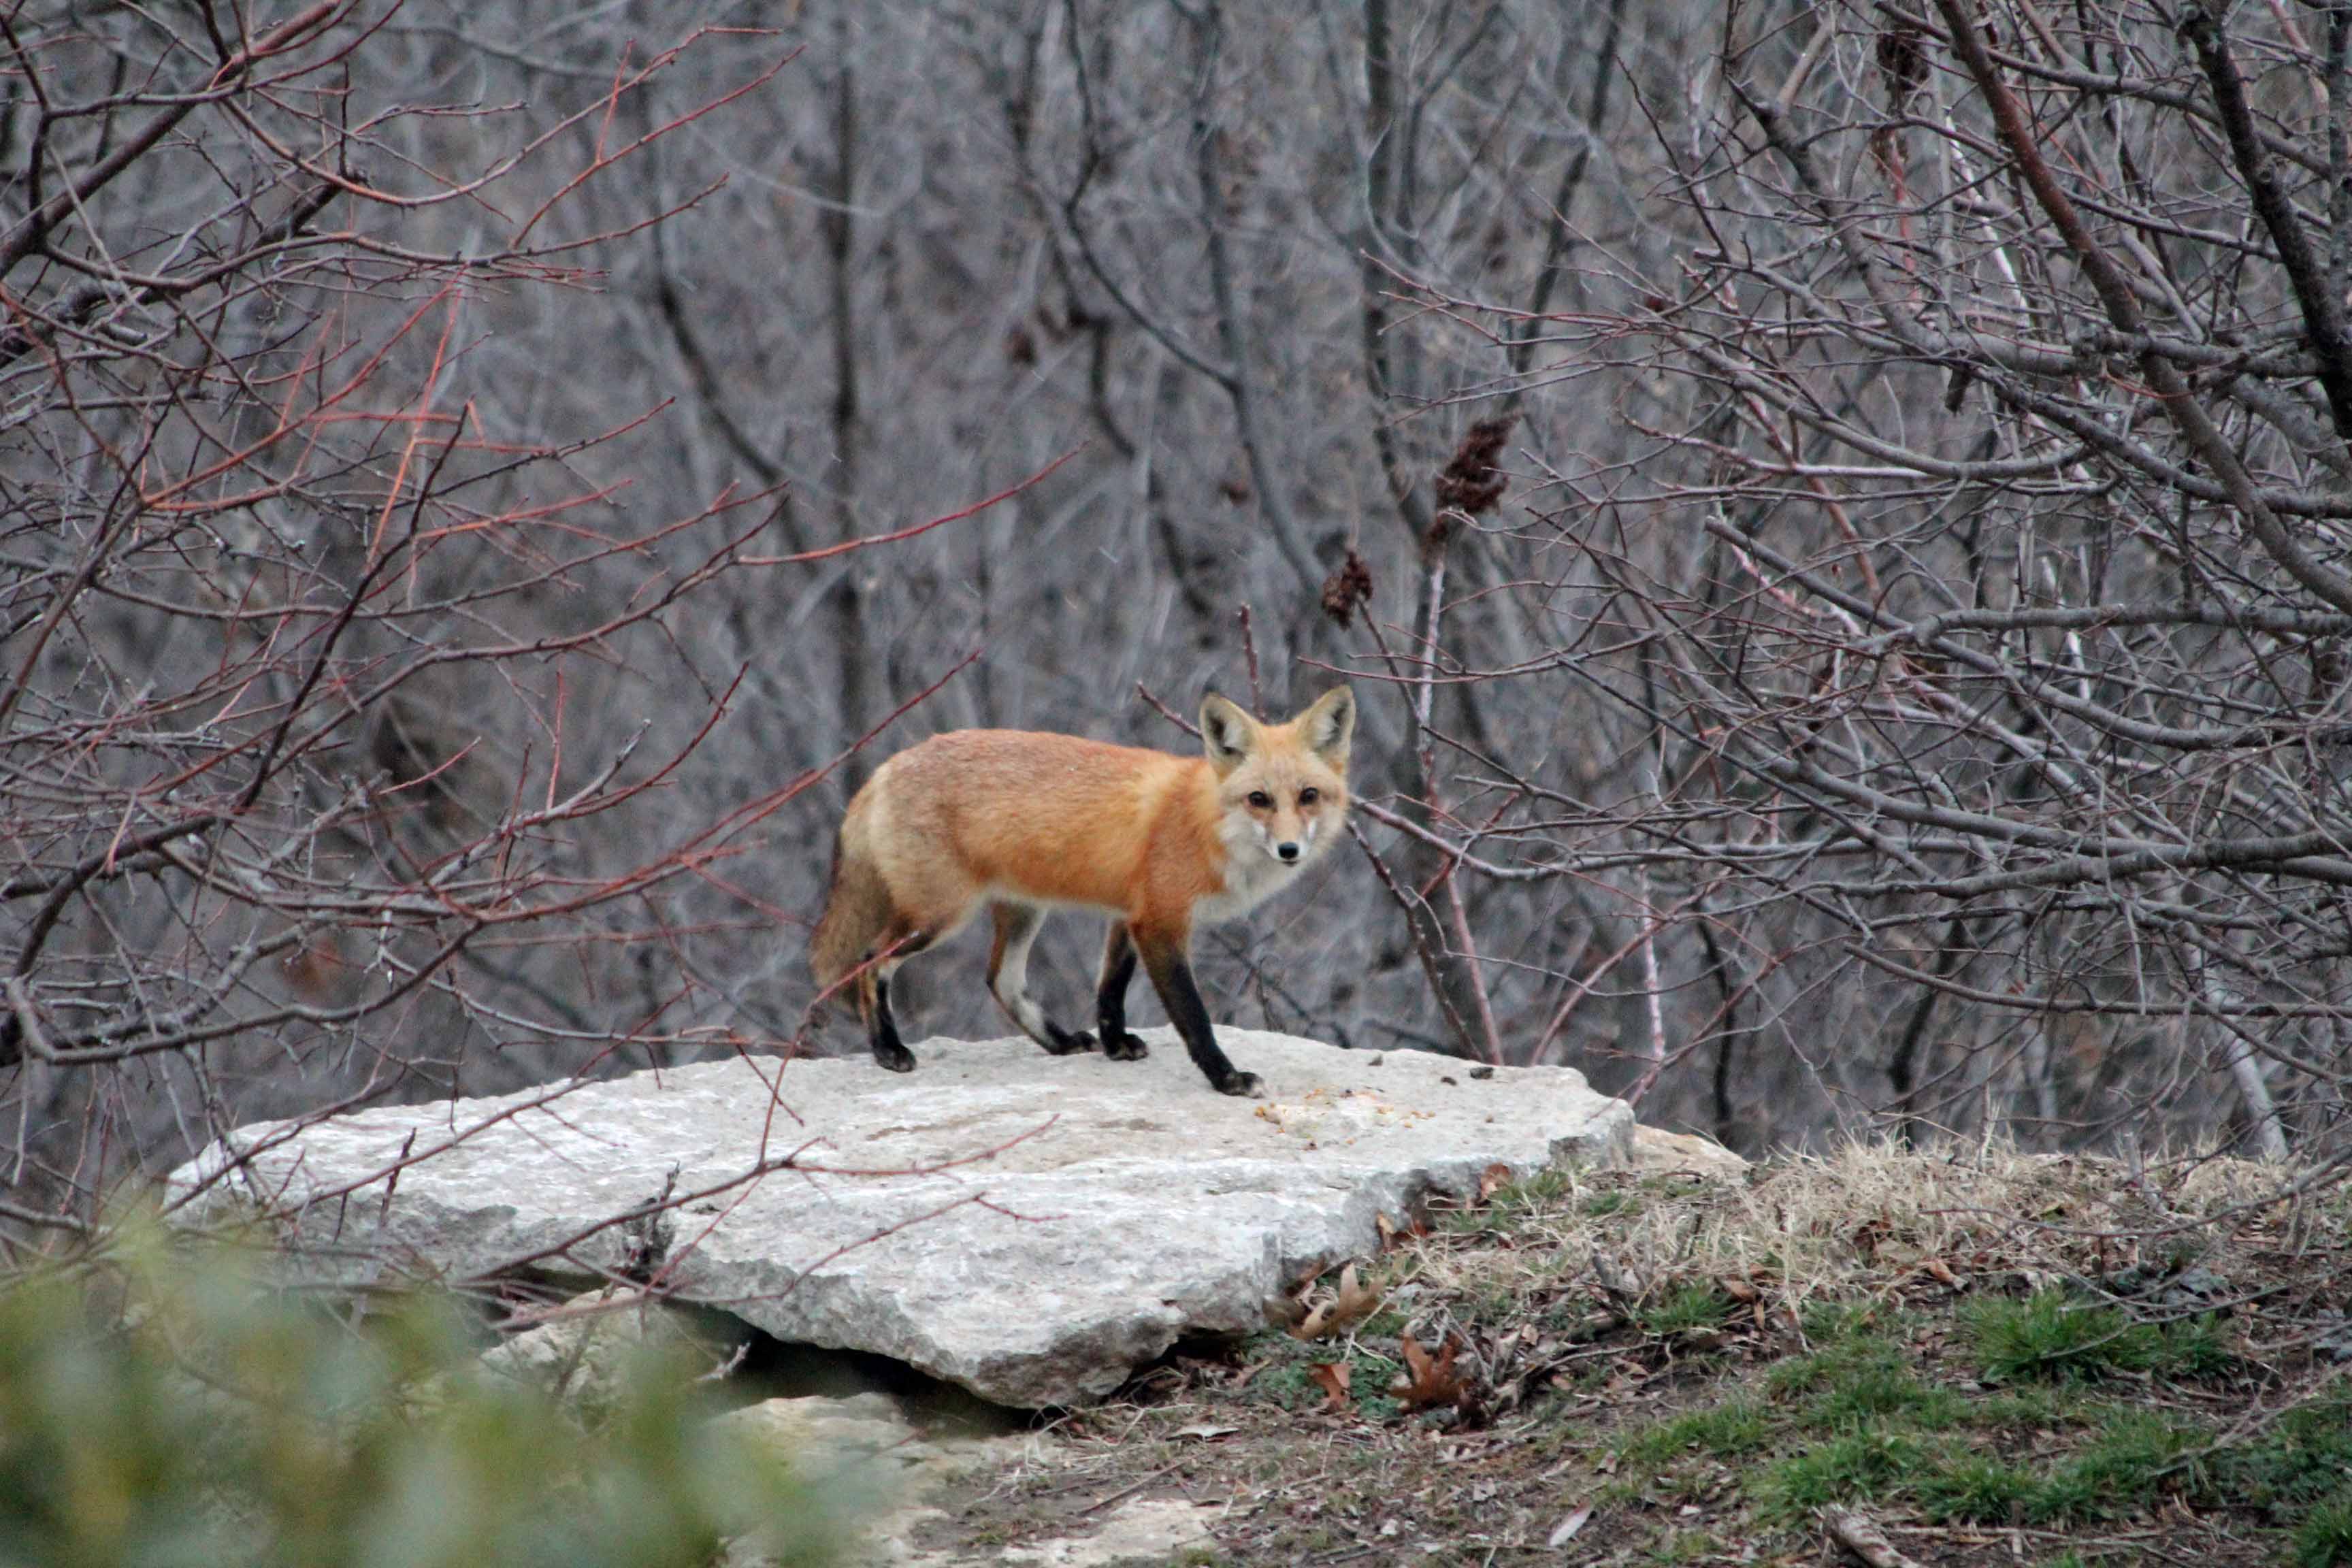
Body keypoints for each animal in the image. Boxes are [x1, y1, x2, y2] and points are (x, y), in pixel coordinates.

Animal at [809, 686, 1355, 1096]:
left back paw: (1061, 1042)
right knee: (870, 960)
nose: (1289, 849)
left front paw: (1115, 1046)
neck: (1204, 823)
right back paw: (887, 1050)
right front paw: (1228, 1078)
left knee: (1001, 980)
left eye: (1308, 796)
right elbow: (1194, 1017)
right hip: (938, 916)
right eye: (1259, 799)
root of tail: (884, 768)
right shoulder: (1161, 922)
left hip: (1023, 910)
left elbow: (1109, 991)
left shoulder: (1130, 914)